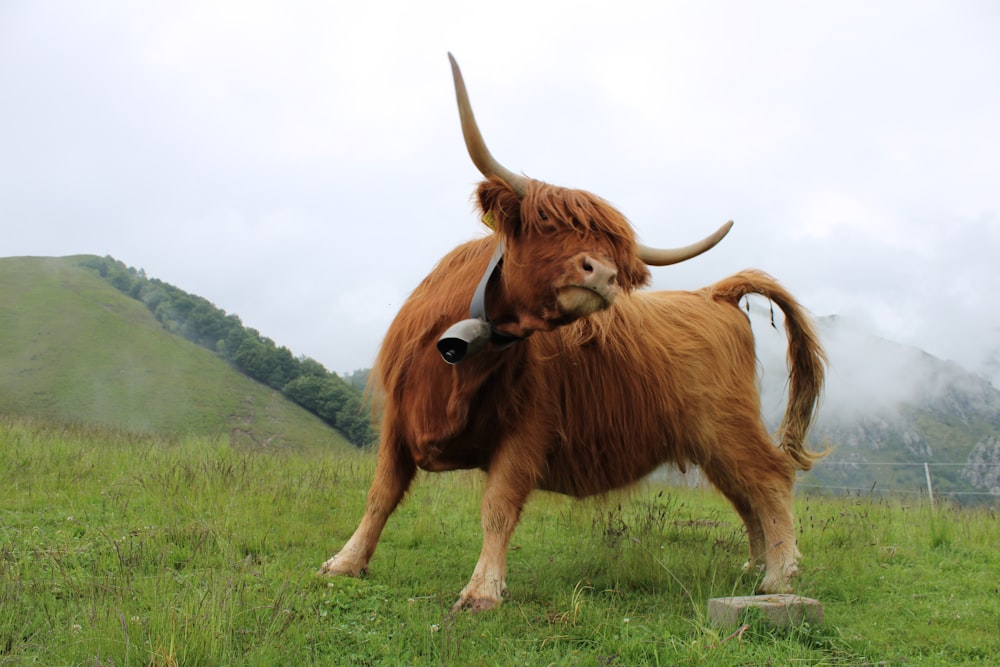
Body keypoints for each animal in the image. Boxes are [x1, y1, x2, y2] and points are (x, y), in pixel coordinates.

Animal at [322, 54, 828, 612]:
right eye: (546, 224)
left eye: (616, 255)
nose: (604, 273)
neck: (461, 362)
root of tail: (715, 292)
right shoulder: (398, 419)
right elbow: (381, 493)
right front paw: (345, 562)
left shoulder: (527, 428)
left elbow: (498, 506)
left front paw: (482, 591)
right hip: (711, 439)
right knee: (744, 494)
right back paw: (755, 567)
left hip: (727, 423)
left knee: (769, 479)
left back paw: (779, 578)